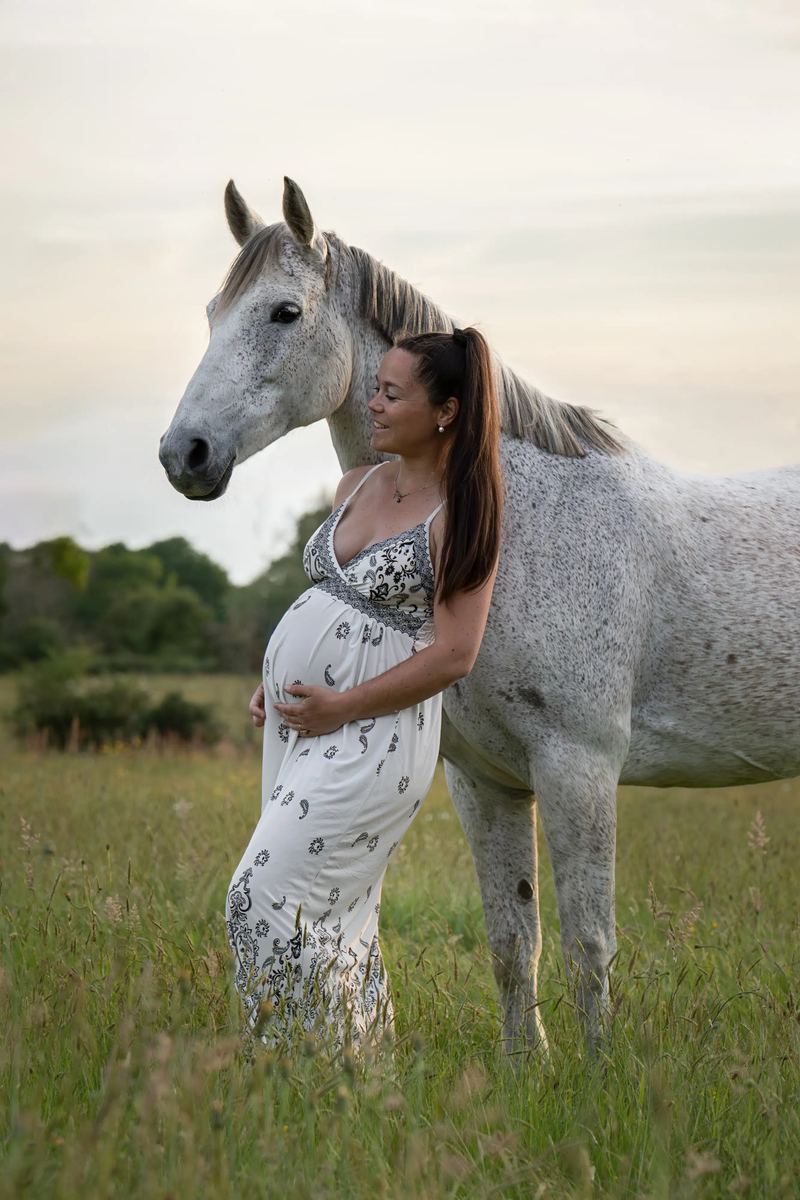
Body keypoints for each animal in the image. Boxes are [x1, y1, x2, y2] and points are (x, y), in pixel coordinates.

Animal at [159, 176, 800, 1058]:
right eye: (211, 313)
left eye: (284, 312)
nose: (182, 454)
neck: (514, 517)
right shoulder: (486, 781)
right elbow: (512, 938)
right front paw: (526, 1067)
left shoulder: (578, 766)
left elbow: (589, 942)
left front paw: (599, 1077)